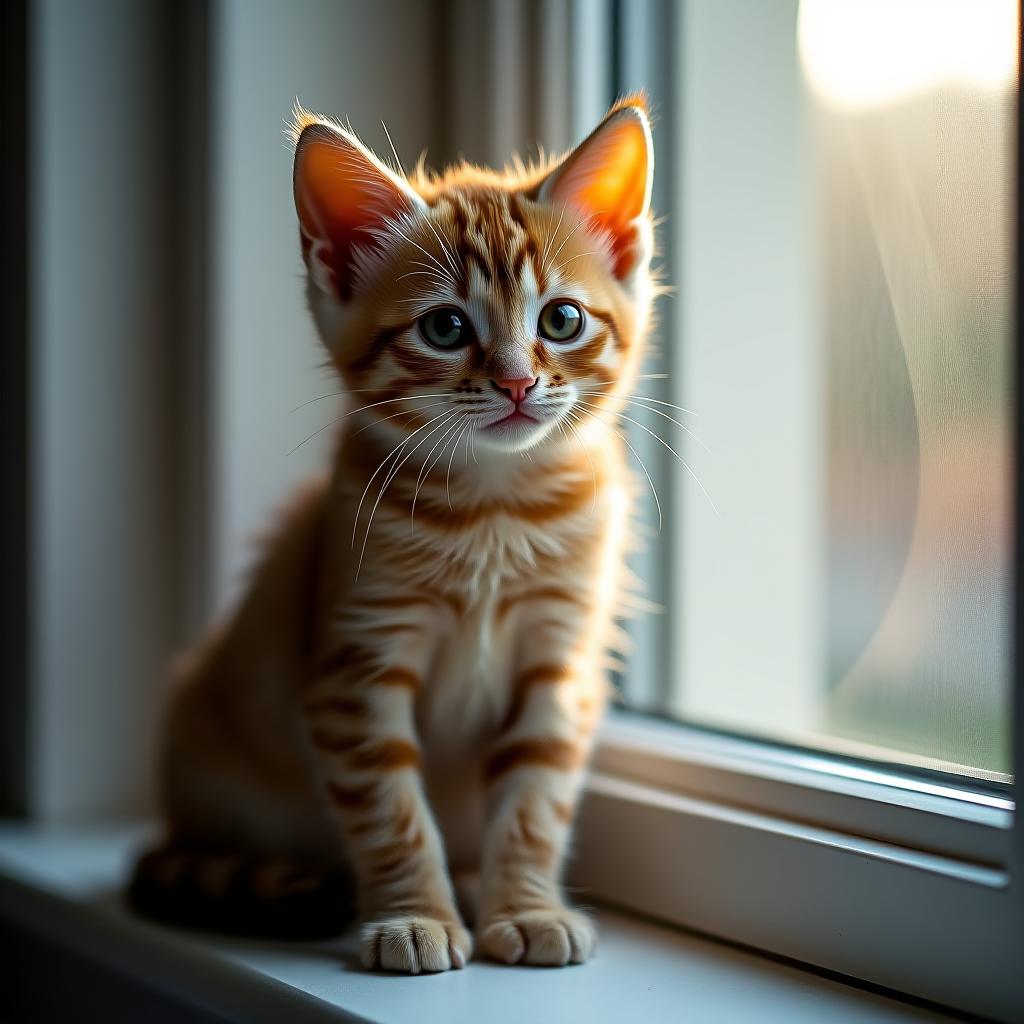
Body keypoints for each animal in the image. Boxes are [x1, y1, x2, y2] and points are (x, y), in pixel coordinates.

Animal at [132, 96, 655, 974]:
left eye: (562, 319)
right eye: (445, 329)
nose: (518, 382)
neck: (495, 510)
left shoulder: (559, 659)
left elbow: (536, 796)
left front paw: (525, 904)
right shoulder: (355, 665)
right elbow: (389, 806)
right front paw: (415, 915)